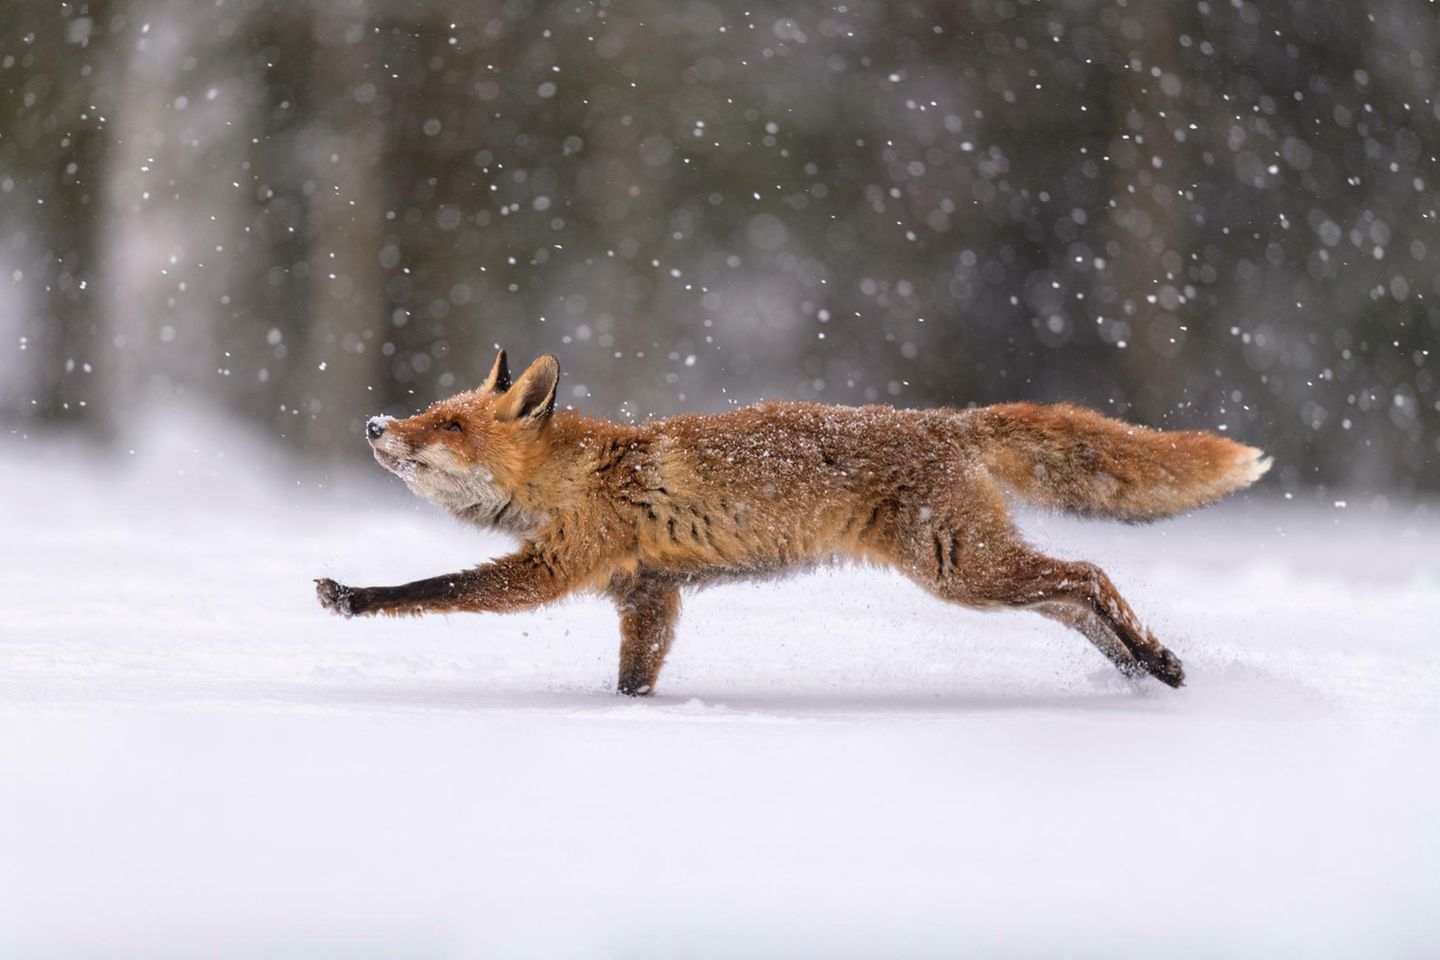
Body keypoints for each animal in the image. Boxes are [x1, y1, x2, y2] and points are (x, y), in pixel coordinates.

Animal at [316, 350, 1271, 695]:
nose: (374, 425)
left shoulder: (555, 567)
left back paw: (1153, 659)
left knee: (1089, 576)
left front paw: (354, 596)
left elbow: (435, 588)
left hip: (960, 569)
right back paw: (1141, 667)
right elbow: (634, 679)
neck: (577, 474)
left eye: (448, 424)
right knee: (1073, 598)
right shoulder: (649, 596)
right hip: (975, 571)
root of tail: (947, 421)